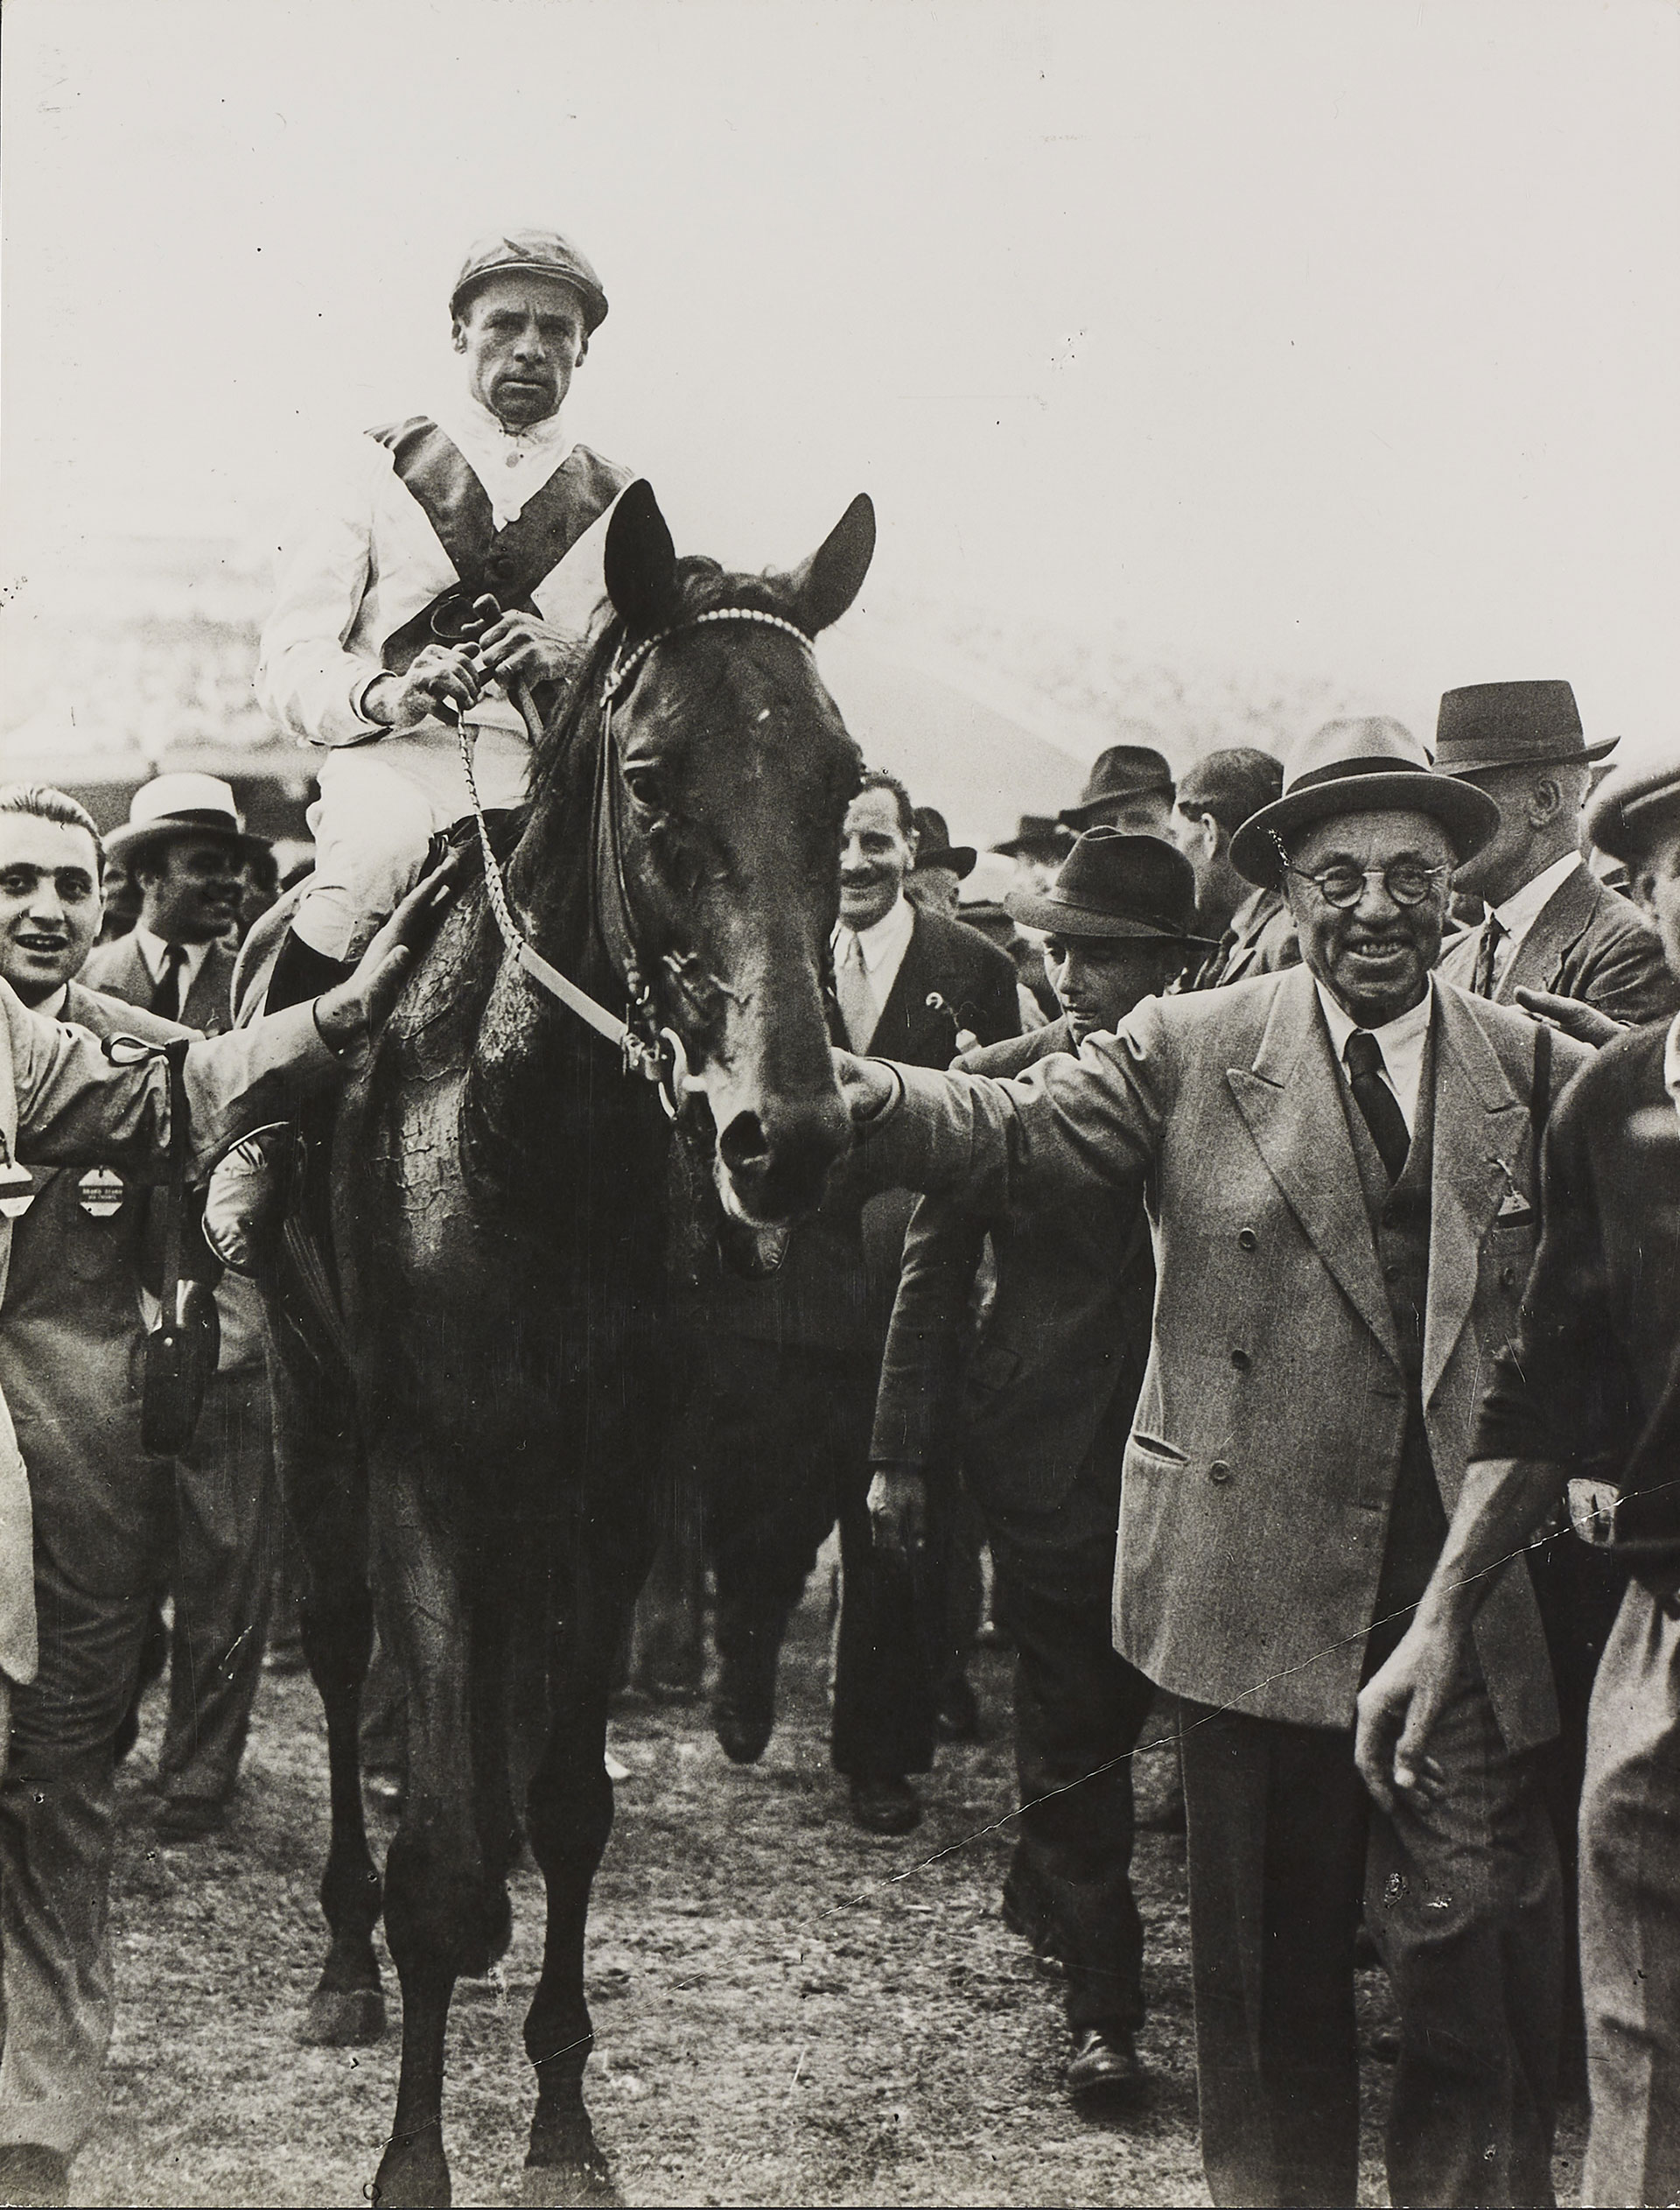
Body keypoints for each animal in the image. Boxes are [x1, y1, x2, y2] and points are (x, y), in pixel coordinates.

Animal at [268, 488, 871, 2210]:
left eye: (844, 781)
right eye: (654, 779)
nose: (787, 1136)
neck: (526, 1144)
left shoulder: (610, 1485)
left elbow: (570, 1805)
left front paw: (560, 2127)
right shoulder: (421, 1463)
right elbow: (435, 1848)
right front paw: (415, 2155)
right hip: (313, 1418)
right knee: (343, 1662)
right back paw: (346, 1966)